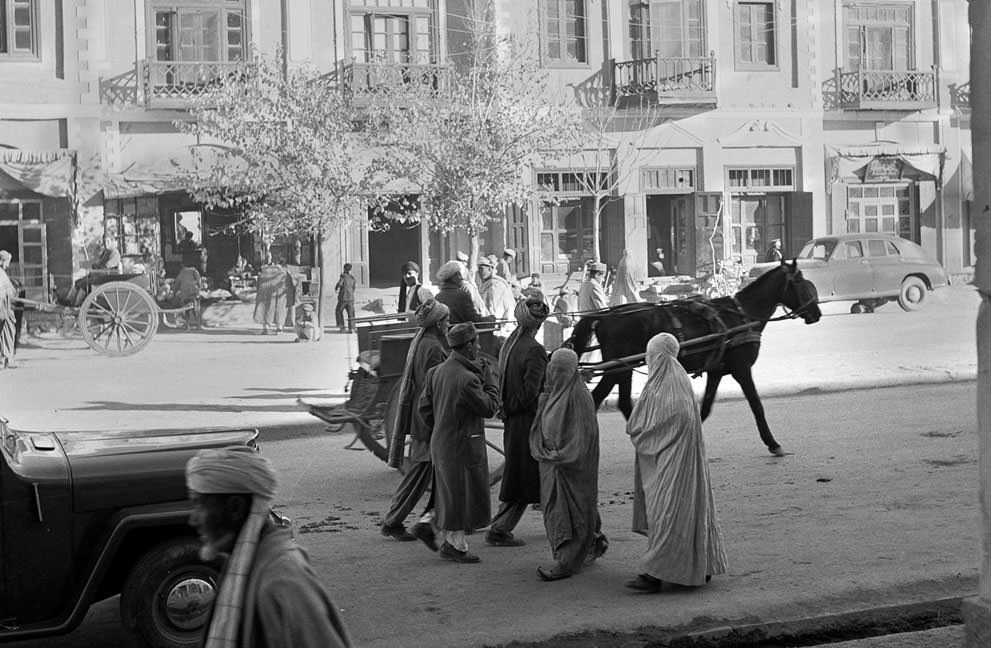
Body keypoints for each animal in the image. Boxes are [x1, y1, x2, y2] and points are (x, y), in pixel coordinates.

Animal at [564, 260, 820, 458]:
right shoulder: (741, 368)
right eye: (801, 283)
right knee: (600, 398)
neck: (741, 315)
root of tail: (606, 315)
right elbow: (757, 405)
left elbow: (705, 408)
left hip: (622, 367)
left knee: (620, 401)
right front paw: (773, 444)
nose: (816, 314)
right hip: (619, 368)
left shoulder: (717, 370)